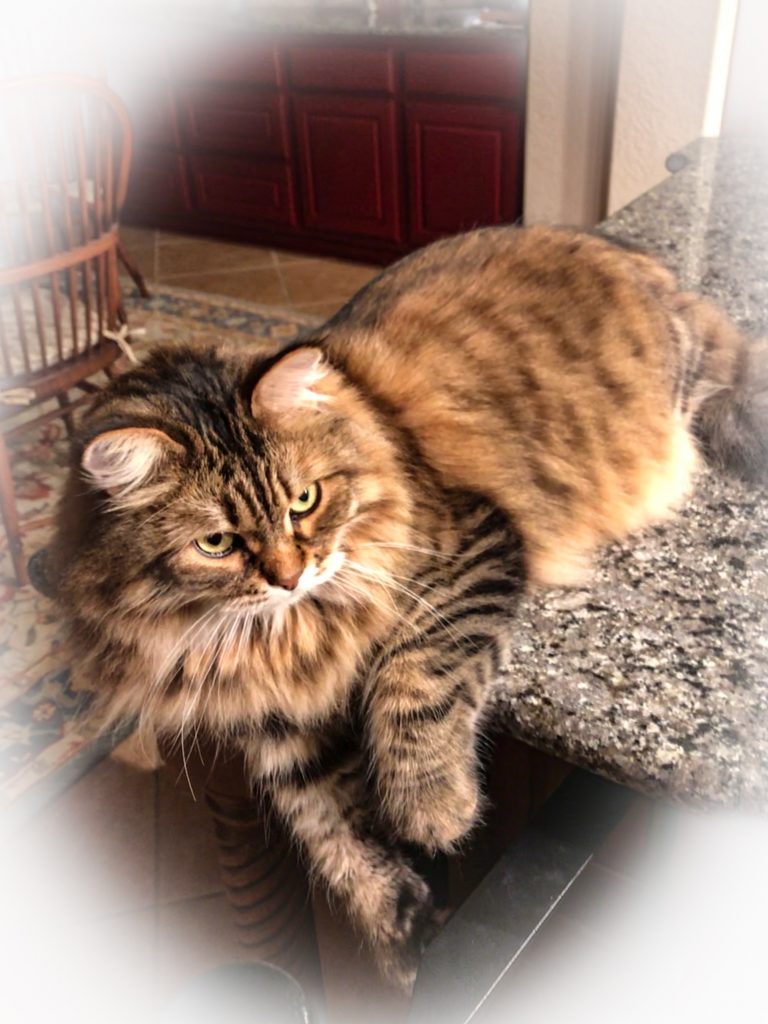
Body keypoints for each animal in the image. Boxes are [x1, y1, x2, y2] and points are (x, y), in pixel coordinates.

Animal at [49, 226, 768, 991]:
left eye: (304, 500)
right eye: (217, 543)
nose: (292, 575)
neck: (283, 638)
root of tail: (636, 261)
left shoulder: (467, 549)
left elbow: (412, 680)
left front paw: (433, 810)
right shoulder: (276, 726)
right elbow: (333, 832)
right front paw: (402, 934)